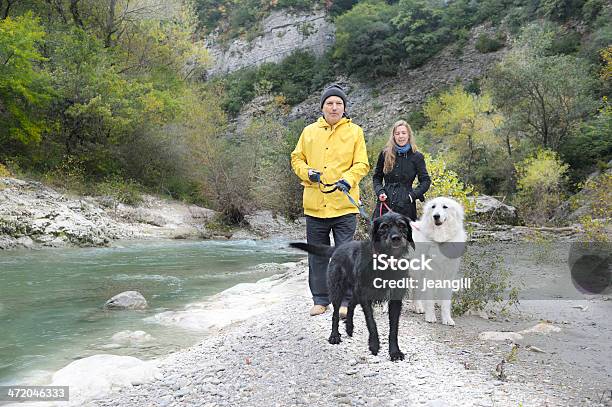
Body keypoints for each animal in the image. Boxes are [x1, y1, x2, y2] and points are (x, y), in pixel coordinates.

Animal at [290, 212, 414, 362]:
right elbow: (371, 322)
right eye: (384, 227)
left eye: (402, 225)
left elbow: (394, 327)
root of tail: (338, 248)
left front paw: (395, 351)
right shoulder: (365, 296)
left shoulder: (395, 299)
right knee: (335, 314)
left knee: (350, 304)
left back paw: (349, 328)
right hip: (337, 290)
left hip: (355, 290)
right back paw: (334, 335)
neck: (385, 263)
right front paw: (374, 345)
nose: (396, 238)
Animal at [408, 196, 466, 326]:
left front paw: (447, 320)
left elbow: (445, 303)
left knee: (415, 292)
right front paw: (430, 317)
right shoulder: (429, 276)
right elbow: (430, 300)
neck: (440, 240)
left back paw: (417, 307)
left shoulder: (448, 276)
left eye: (445, 207)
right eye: (433, 207)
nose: (436, 216)